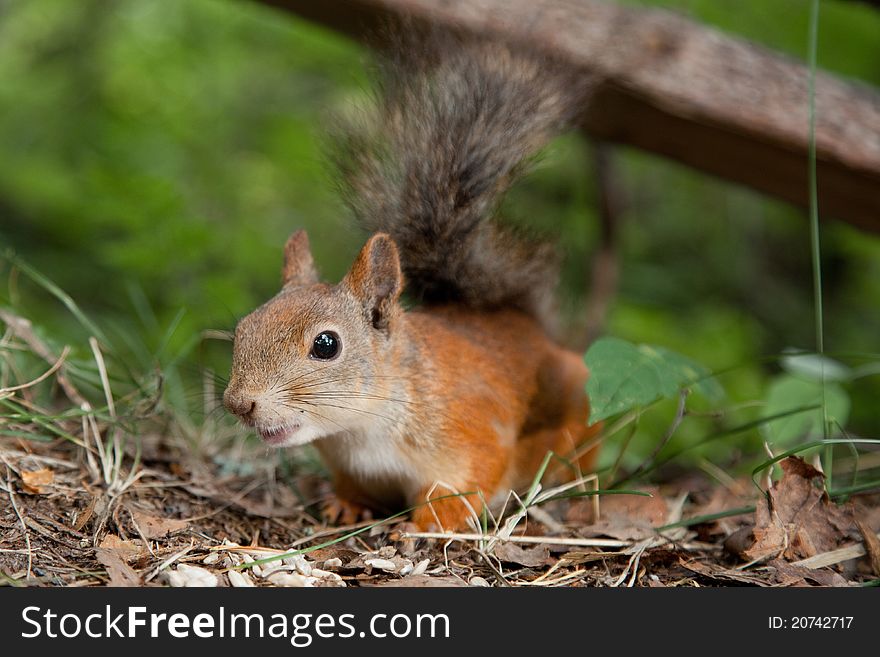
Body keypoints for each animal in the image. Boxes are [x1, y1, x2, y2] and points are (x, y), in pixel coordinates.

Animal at [223, 32, 600, 532]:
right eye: (244, 327)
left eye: (326, 345)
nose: (239, 403)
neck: (360, 430)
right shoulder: (350, 465)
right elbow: (354, 487)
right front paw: (344, 505)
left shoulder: (471, 434)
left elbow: (465, 483)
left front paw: (427, 525)